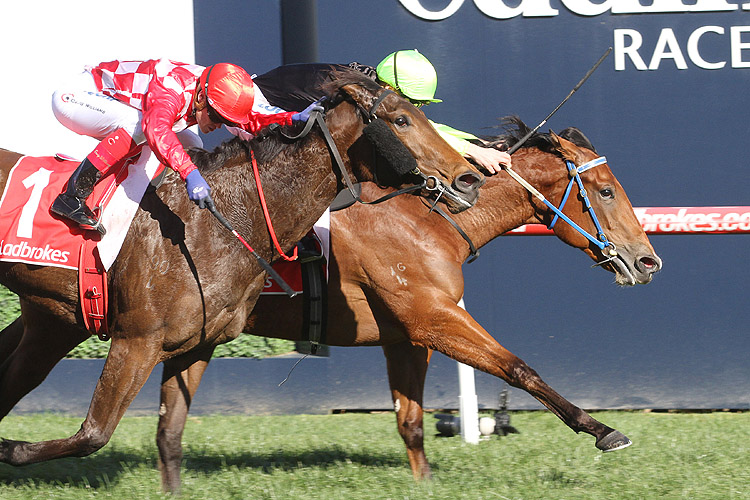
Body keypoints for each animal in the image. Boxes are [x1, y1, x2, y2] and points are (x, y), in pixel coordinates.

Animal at [0, 71, 484, 468]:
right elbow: (93, 434)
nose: (470, 178)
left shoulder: (194, 344)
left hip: (54, 317)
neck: (221, 220)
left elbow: (168, 435)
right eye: (401, 120)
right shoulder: (137, 340)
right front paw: (11, 449)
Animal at [154, 115, 664, 490]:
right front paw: (602, 431)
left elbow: (411, 420)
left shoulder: (406, 338)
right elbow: (518, 368)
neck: (426, 217)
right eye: (606, 191)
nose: (648, 261)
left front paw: (425, 482)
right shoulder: (432, 317)